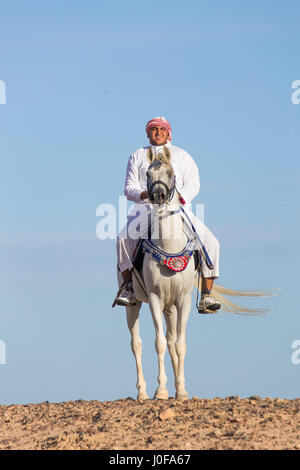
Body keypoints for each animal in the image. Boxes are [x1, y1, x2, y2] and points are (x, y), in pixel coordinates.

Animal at [115, 146, 272, 400]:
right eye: (148, 174)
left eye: (171, 173)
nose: (158, 195)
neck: (169, 244)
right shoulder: (155, 299)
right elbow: (158, 343)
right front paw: (161, 391)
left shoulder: (182, 300)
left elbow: (179, 344)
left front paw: (181, 390)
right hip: (135, 304)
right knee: (136, 343)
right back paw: (142, 392)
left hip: (170, 307)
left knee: (171, 341)